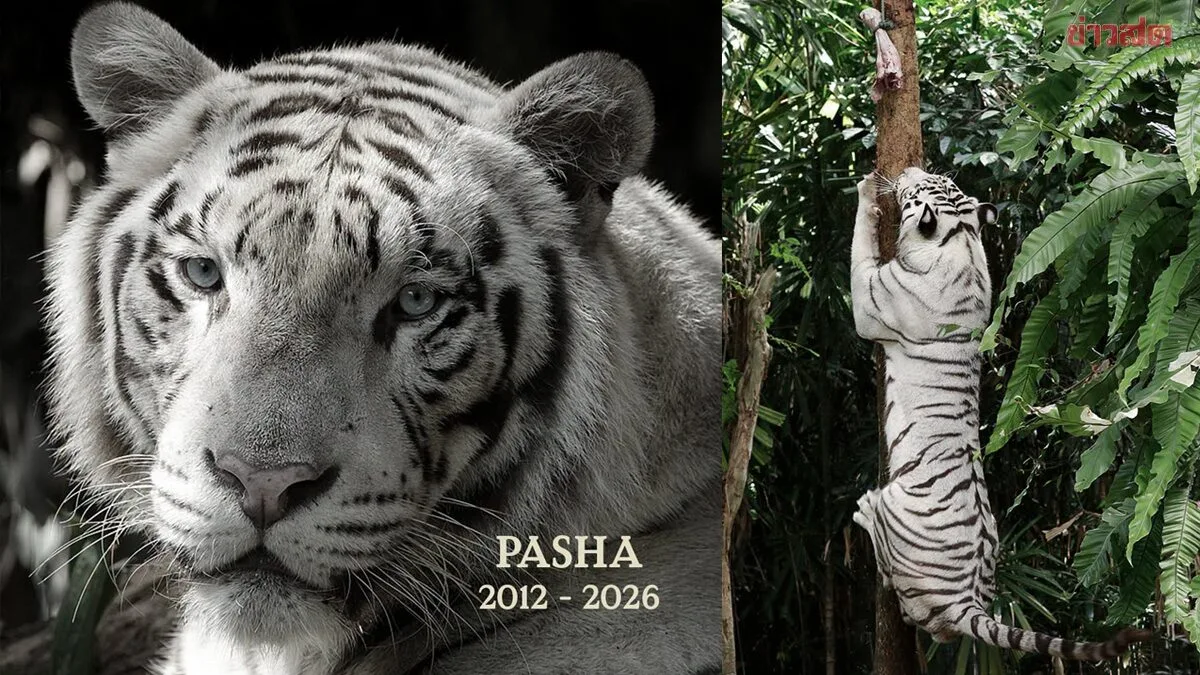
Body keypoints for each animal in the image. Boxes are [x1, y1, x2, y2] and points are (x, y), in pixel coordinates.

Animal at [849, 168, 1150, 660]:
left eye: (918, 188)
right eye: (935, 176)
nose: (909, 171)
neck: (960, 237)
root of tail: (968, 601)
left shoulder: (870, 300)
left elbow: (859, 251)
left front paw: (865, 190)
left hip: (896, 503)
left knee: (895, 577)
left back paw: (865, 510)